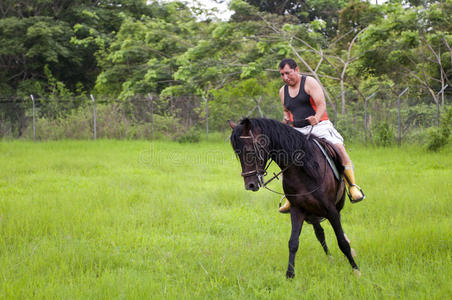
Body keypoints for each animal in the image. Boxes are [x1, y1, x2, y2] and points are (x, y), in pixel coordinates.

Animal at [230, 118, 360, 278]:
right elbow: (293, 243)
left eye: (249, 151)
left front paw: (356, 270)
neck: (304, 169)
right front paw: (290, 274)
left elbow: (342, 241)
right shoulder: (298, 209)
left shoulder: (331, 210)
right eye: (237, 154)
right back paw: (329, 258)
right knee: (320, 234)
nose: (250, 185)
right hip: (312, 214)